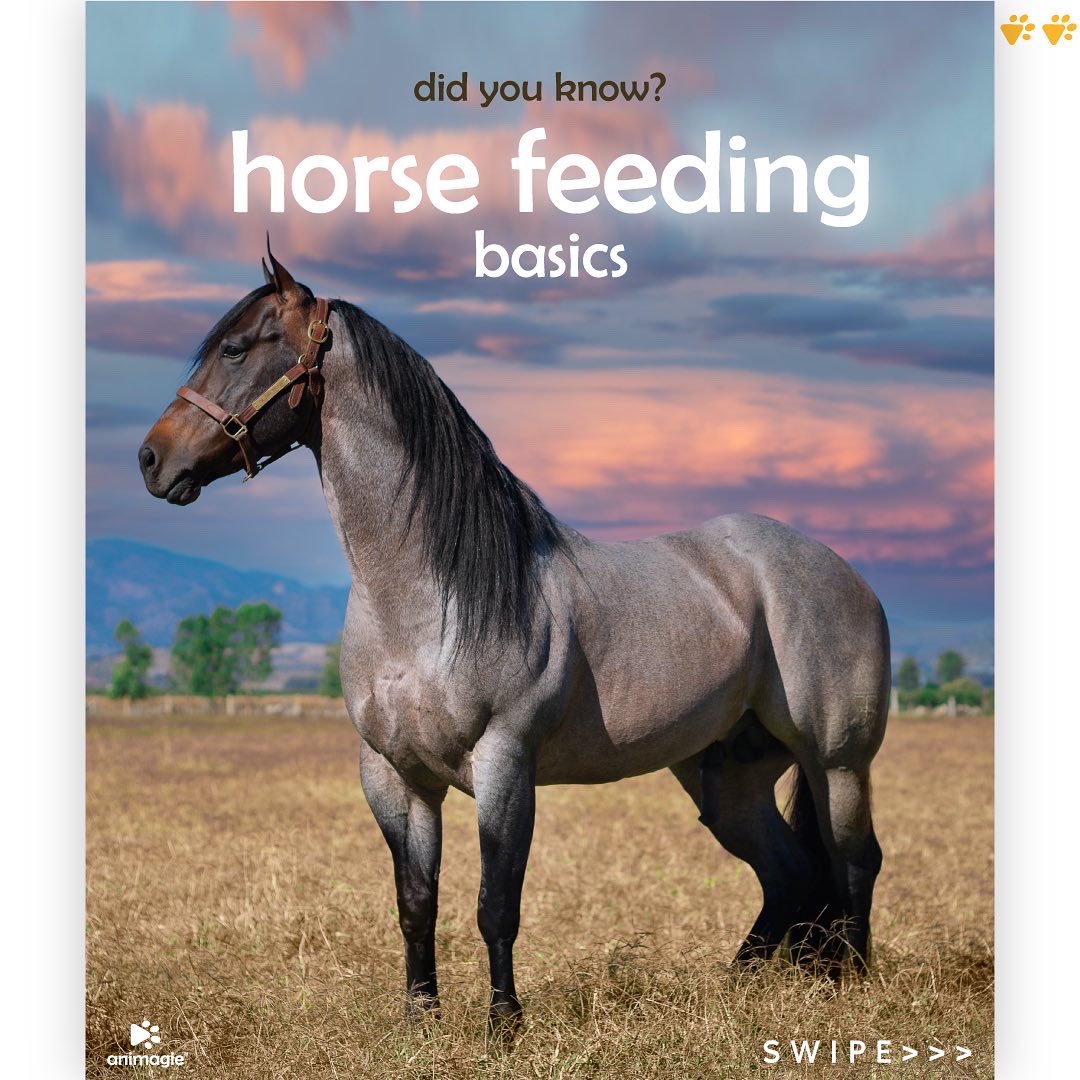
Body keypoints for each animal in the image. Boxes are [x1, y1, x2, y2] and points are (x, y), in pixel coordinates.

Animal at [139, 250, 889, 1032]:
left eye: (234, 348)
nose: (152, 460)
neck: (424, 599)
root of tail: (843, 573)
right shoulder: (393, 775)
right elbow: (416, 903)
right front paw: (420, 1019)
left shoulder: (505, 763)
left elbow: (496, 904)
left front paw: (504, 1023)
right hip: (726, 777)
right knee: (789, 874)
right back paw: (736, 988)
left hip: (837, 762)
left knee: (853, 860)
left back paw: (851, 985)